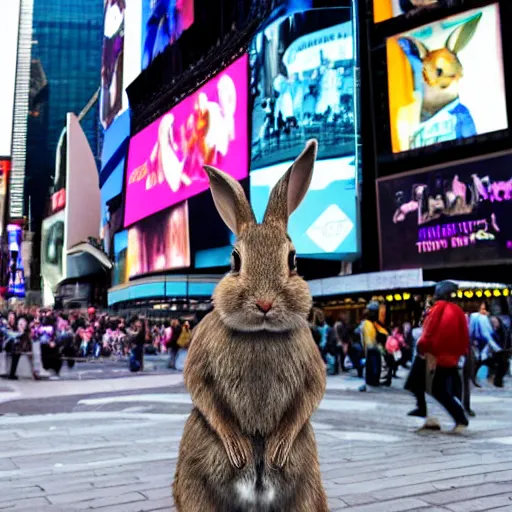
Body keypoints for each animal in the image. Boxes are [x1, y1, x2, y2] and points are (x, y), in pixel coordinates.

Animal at [173, 138, 328, 510]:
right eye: (234, 260)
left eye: (293, 259)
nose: (265, 303)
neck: (260, 333)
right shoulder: (200, 356)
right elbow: (199, 387)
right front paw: (239, 449)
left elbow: (312, 390)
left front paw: (277, 450)